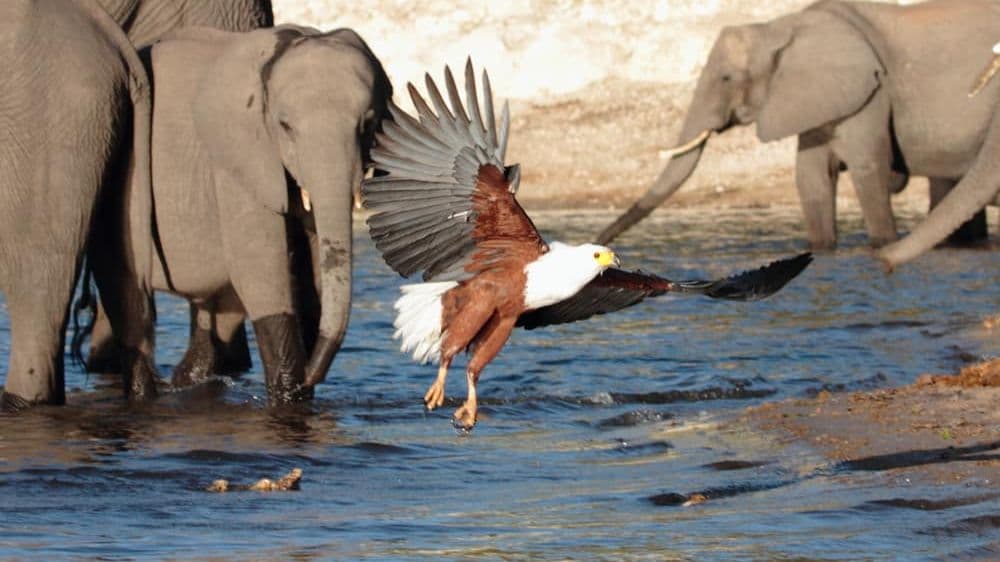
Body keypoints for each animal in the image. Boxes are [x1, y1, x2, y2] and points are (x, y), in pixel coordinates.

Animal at [596, 0, 1000, 254]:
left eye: (726, 78)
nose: (600, 242)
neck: (780, 27)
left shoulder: (871, 90)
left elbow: (868, 167)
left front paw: (882, 246)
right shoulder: (814, 97)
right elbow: (810, 175)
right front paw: (821, 250)